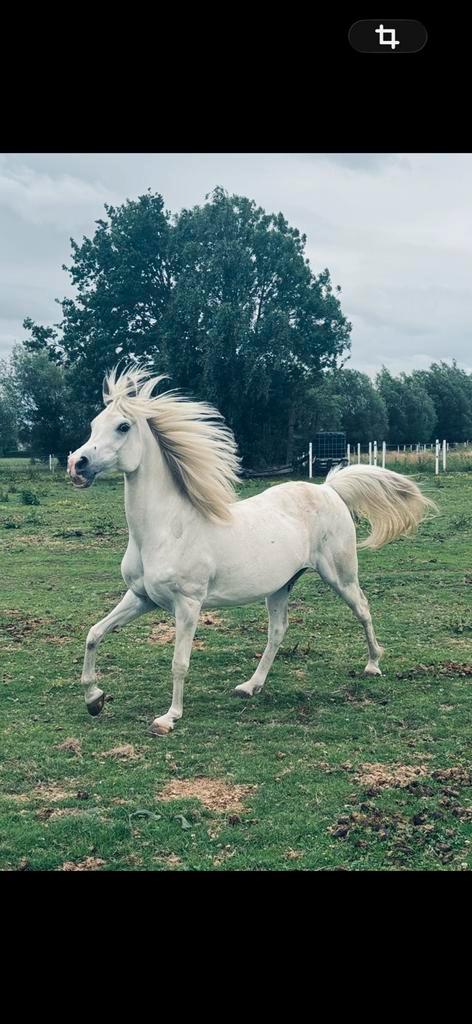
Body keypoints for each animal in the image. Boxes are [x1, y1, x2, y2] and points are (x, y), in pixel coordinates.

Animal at [67, 366, 436, 735]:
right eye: (94, 424)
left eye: (123, 426)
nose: (77, 464)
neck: (166, 529)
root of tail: (329, 489)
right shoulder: (141, 597)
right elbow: (94, 633)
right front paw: (94, 699)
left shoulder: (188, 604)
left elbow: (179, 661)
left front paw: (169, 718)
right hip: (281, 586)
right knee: (278, 631)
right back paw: (250, 686)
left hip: (340, 576)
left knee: (363, 609)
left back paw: (373, 665)